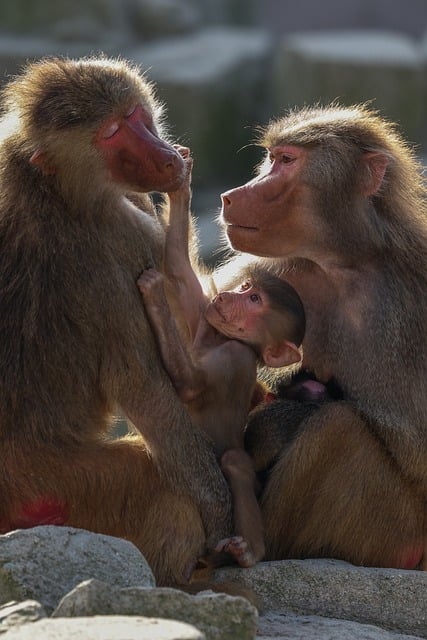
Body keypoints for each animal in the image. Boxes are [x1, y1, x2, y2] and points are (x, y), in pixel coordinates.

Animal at [0, 56, 236, 587]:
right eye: (110, 134)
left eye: (133, 115)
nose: (167, 157)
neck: (54, 189)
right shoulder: (115, 251)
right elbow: (148, 386)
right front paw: (222, 519)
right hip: (56, 487)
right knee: (166, 498)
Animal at [138, 147, 306, 568]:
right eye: (246, 288)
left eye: (254, 299)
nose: (230, 296)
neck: (218, 339)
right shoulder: (206, 317)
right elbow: (178, 268)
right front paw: (182, 179)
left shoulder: (233, 354)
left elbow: (190, 388)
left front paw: (154, 295)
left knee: (234, 460)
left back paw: (250, 552)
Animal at [218, 103, 427, 571]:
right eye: (271, 157)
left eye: (286, 161)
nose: (229, 196)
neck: (344, 266)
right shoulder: (276, 272)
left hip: (393, 533)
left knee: (338, 427)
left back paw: (260, 546)